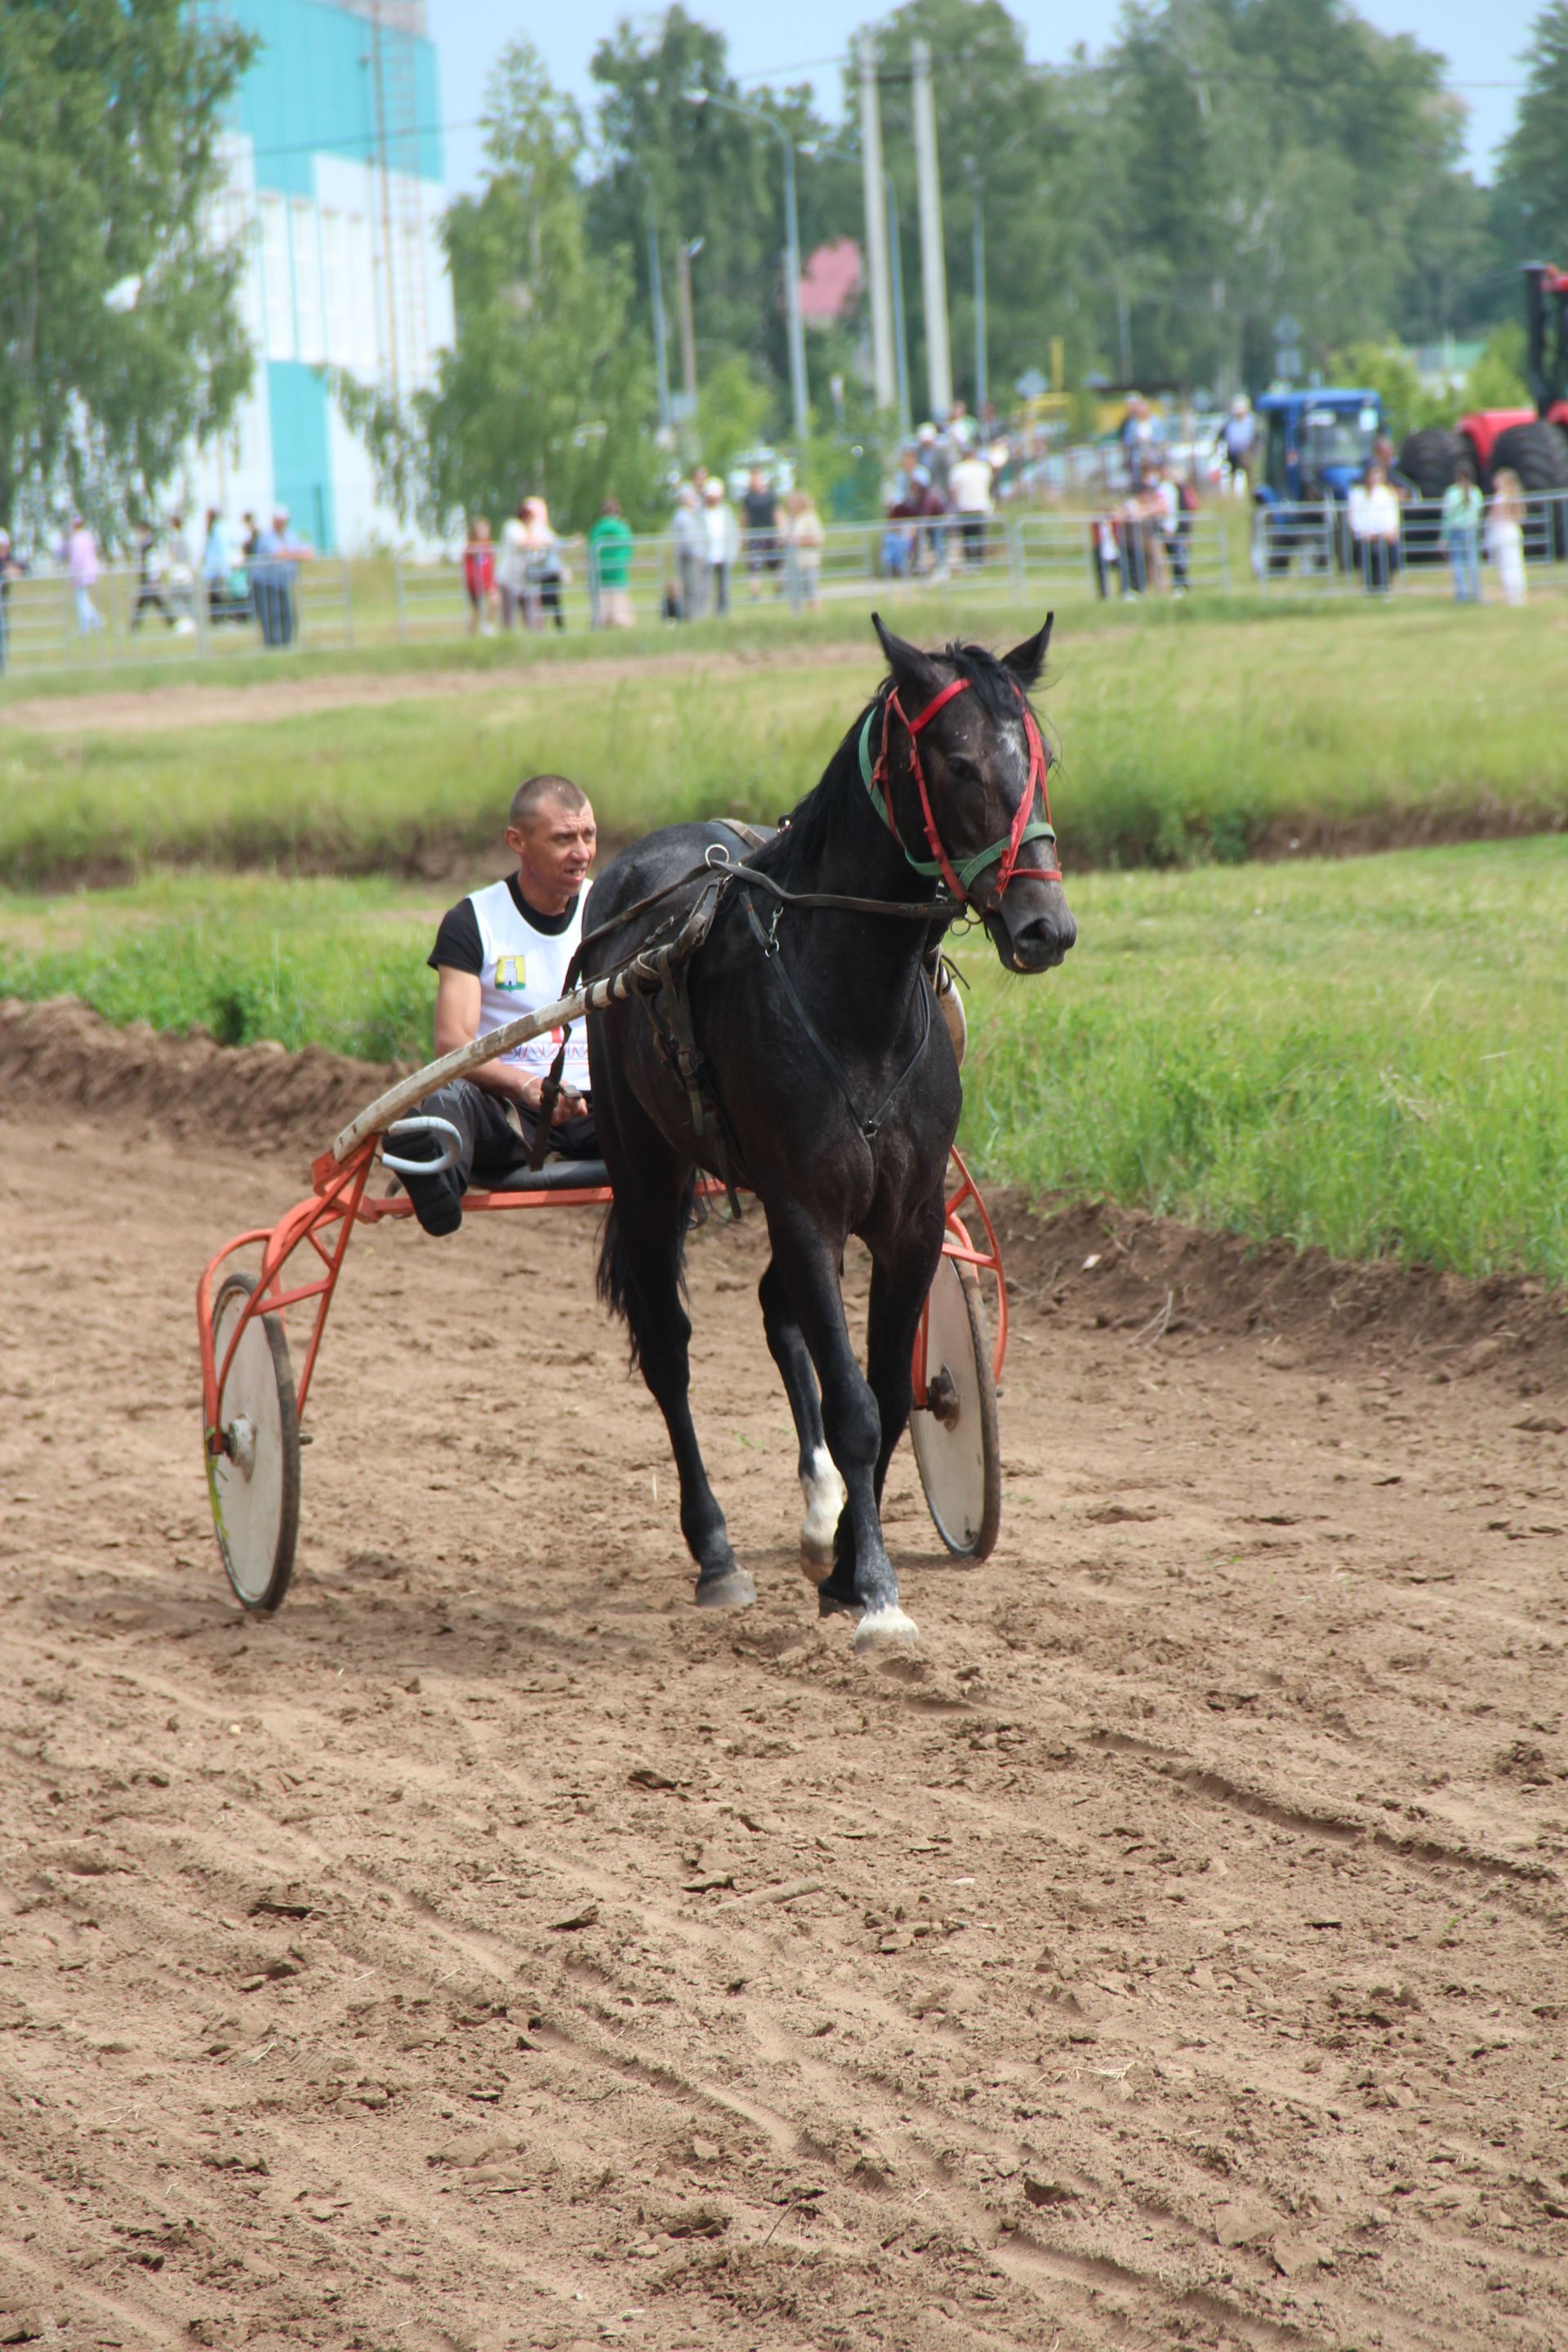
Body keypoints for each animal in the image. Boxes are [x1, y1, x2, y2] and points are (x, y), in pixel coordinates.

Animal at [582, 621, 1071, 1655]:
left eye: (1040, 760)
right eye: (960, 763)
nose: (1046, 926)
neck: (854, 1002)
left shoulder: (910, 1217)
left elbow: (887, 1390)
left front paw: (844, 1563)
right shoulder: (806, 1206)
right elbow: (853, 1404)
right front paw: (876, 1592)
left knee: (778, 1314)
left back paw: (816, 1518)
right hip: (645, 1164)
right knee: (669, 1344)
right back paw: (716, 1552)